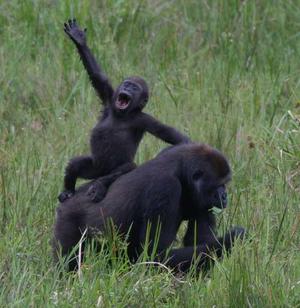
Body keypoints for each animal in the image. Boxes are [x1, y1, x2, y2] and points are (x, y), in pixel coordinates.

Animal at [53, 143, 246, 270]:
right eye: (219, 185)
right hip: (67, 219)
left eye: (225, 183)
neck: (181, 171)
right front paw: (233, 238)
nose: (224, 196)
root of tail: (71, 197)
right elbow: (156, 255)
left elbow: (200, 243)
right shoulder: (165, 188)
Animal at [58, 19, 190, 202]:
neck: (123, 114)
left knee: (127, 167)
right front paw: (80, 40)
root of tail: (100, 173)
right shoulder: (109, 98)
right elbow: (98, 77)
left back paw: (100, 184)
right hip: (94, 168)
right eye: (127, 84)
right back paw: (69, 189)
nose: (127, 88)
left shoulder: (144, 119)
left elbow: (177, 139)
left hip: (107, 171)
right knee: (75, 165)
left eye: (134, 88)